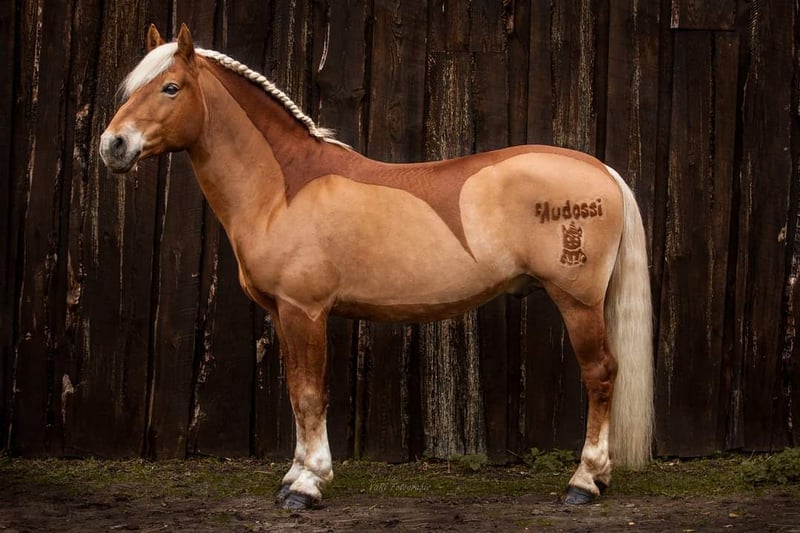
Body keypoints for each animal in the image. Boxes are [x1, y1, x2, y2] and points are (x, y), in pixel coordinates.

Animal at [100, 24, 654, 510]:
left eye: (171, 87)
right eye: (131, 88)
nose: (113, 146)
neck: (283, 190)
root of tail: (601, 169)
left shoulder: (305, 311)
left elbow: (309, 394)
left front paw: (308, 486)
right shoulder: (283, 313)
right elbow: (297, 390)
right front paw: (294, 476)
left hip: (577, 301)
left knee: (600, 375)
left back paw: (584, 482)